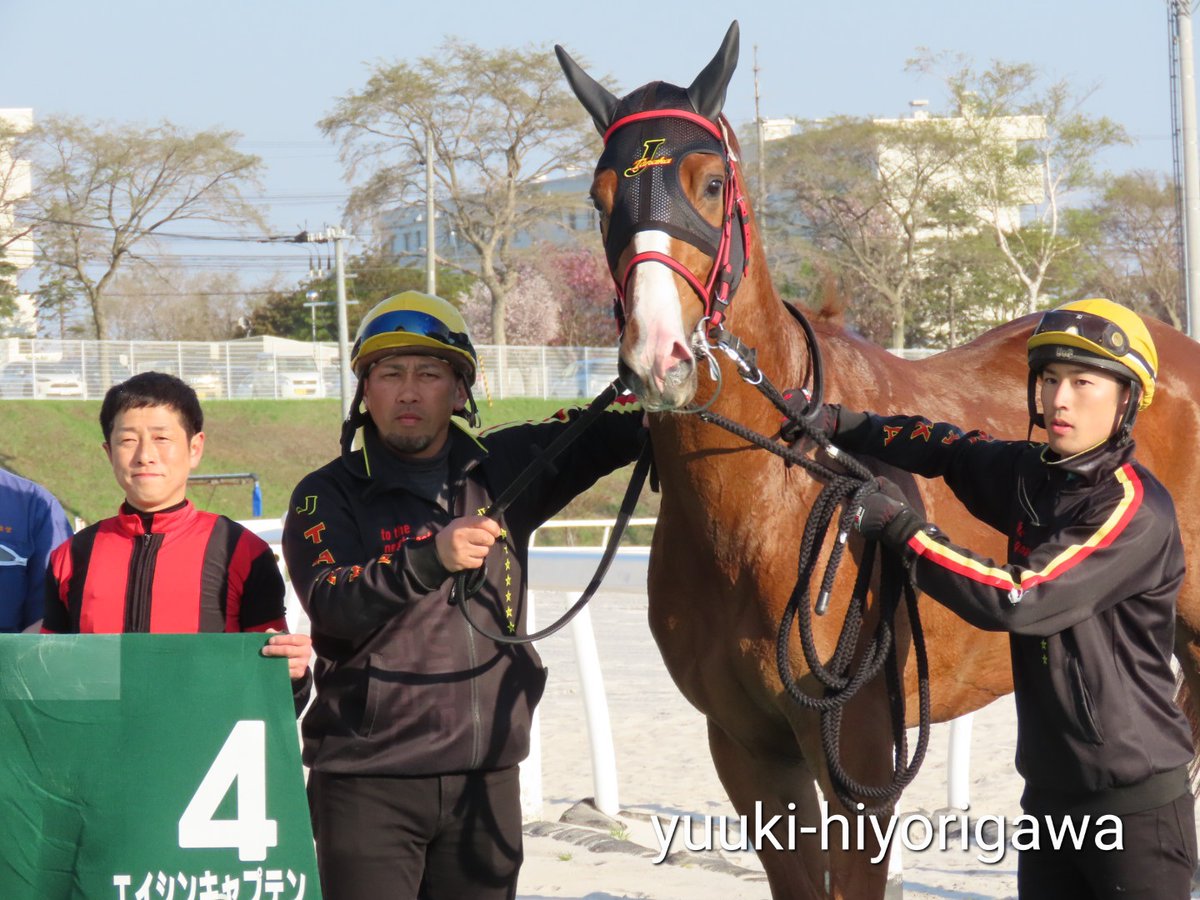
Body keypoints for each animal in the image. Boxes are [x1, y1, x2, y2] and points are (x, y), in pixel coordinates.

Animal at [556, 19, 1200, 900]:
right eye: (598, 199)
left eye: (711, 182)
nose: (660, 355)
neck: (772, 497)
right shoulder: (749, 752)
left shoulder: (858, 757)